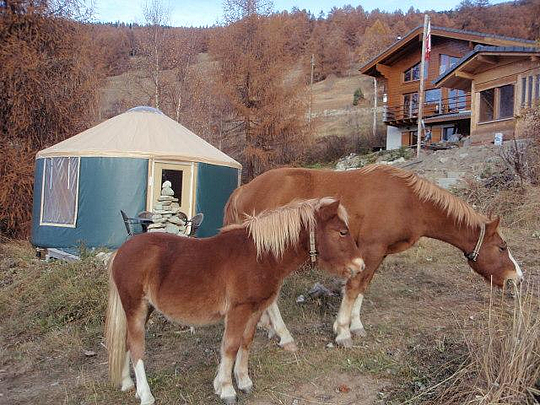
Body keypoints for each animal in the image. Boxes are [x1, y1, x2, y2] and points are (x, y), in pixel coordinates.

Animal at [105, 196, 364, 400]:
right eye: (342, 232)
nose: (360, 266)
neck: (261, 255)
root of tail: (121, 251)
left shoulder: (256, 309)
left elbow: (245, 342)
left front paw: (242, 381)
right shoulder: (239, 309)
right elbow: (230, 346)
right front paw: (227, 389)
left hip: (145, 309)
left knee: (127, 341)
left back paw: (128, 384)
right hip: (135, 307)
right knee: (137, 347)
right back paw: (146, 395)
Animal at [223, 163, 524, 348]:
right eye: (502, 247)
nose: (517, 278)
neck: (409, 201)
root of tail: (243, 189)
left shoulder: (380, 253)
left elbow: (363, 286)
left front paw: (355, 325)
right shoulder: (371, 248)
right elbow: (354, 287)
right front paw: (342, 331)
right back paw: (284, 335)